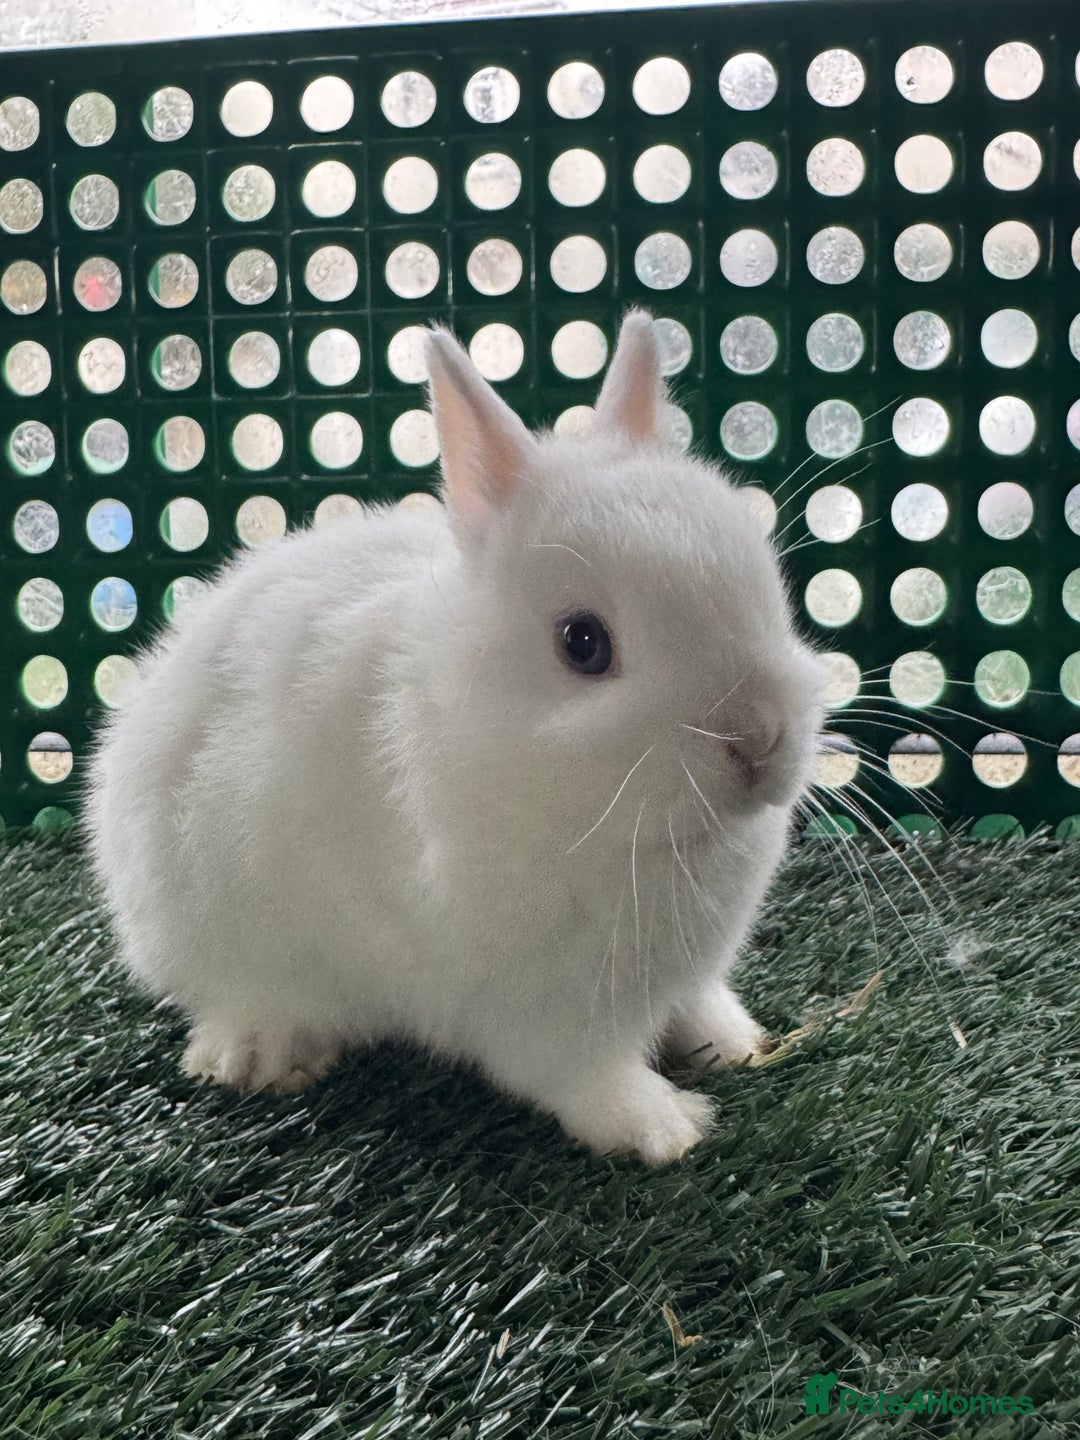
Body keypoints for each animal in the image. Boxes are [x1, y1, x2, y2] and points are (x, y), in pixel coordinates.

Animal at [84, 310, 825, 1167]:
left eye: (763, 582)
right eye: (583, 644)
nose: (758, 739)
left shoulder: (684, 975)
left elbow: (698, 1005)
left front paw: (738, 1044)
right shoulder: (541, 1015)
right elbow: (584, 1077)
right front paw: (664, 1129)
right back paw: (261, 1056)